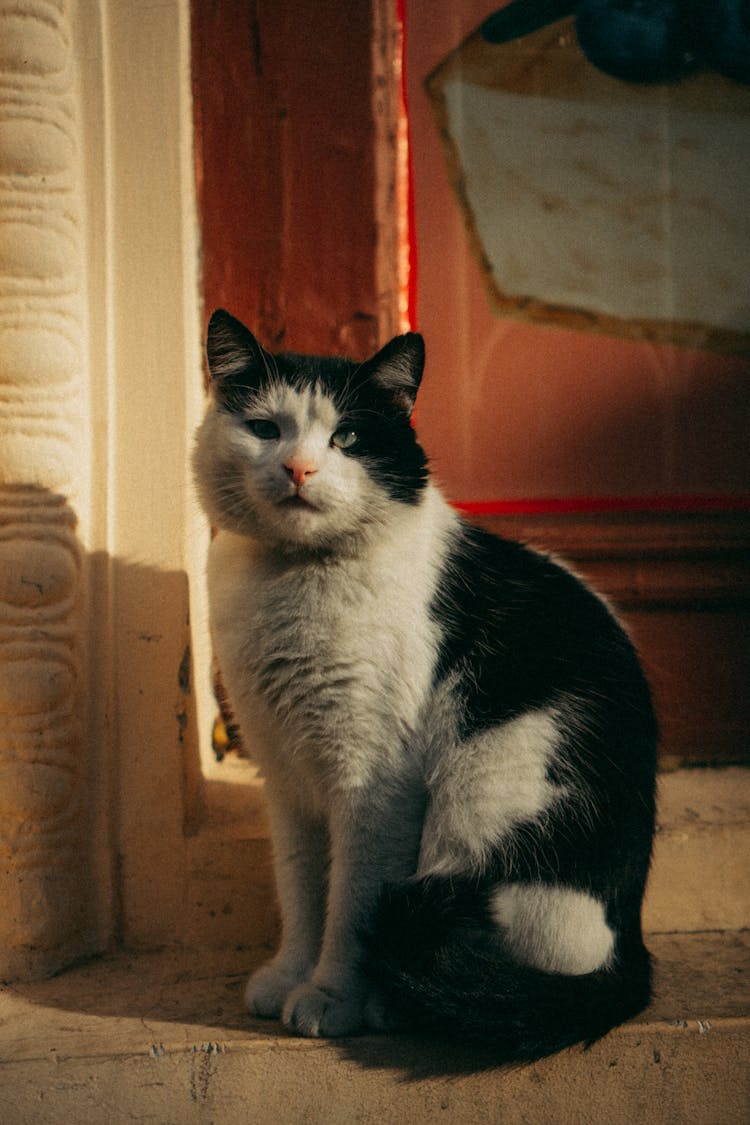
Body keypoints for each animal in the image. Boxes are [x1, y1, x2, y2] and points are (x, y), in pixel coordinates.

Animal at [193, 310, 656, 1062]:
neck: (291, 580)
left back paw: (397, 1002)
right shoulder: (285, 780)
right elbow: (301, 889)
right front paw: (290, 974)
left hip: (478, 798)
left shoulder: (373, 784)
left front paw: (331, 996)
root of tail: (633, 952)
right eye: (265, 428)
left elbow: (349, 902)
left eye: (348, 437)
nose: (299, 467)